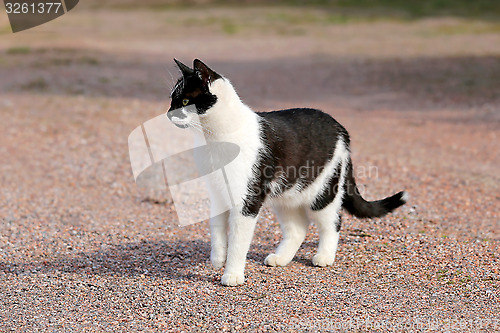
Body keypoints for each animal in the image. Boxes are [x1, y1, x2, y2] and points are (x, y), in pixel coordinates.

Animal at [166, 57, 408, 286]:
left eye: (185, 101)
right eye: (171, 100)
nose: (168, 114)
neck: (214, 139)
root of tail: (340, 127)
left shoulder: (248, 199)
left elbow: (238, 241)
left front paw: (232, 274)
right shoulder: (217, 193)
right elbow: (216, 230)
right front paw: (217, 259)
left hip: (322, 191)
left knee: (333, 222)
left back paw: (324, 256)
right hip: (287, 194)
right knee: (298, 228)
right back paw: (280, 258)